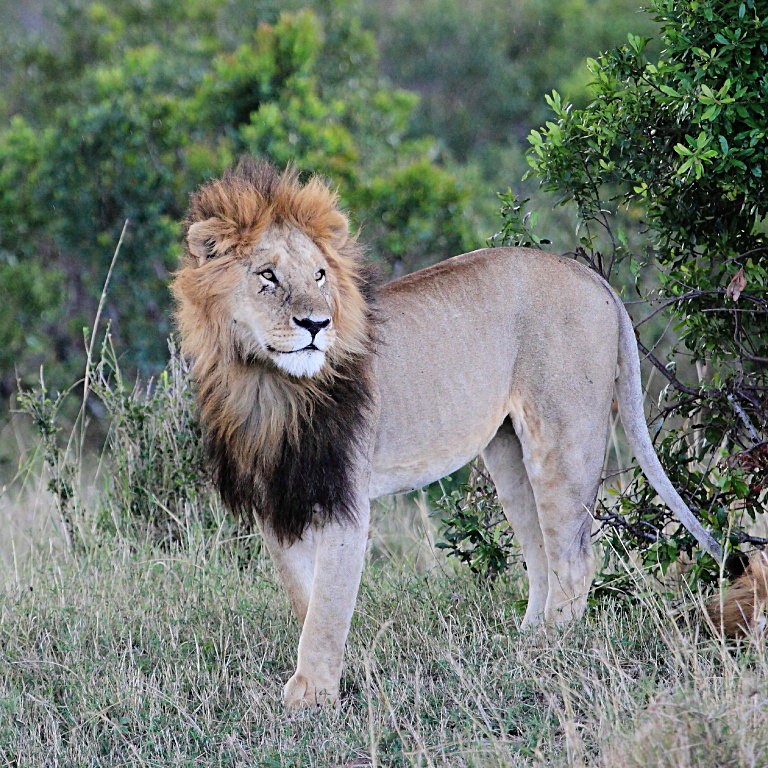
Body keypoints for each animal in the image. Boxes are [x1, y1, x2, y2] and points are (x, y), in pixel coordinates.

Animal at [171, 159, 724, 712]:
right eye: (267, 275)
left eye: (320, 275)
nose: (316, 323)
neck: (270, 385)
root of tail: (590, 275)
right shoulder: (276, 497)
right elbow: (305, 597)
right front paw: (333, 677)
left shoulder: (346, 497)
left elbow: (326, 606)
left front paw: (312, 695)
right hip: (509, 453)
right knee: (540, 552)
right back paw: (524, 641)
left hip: (565, 438)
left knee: (575, 558)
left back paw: (550, 651)